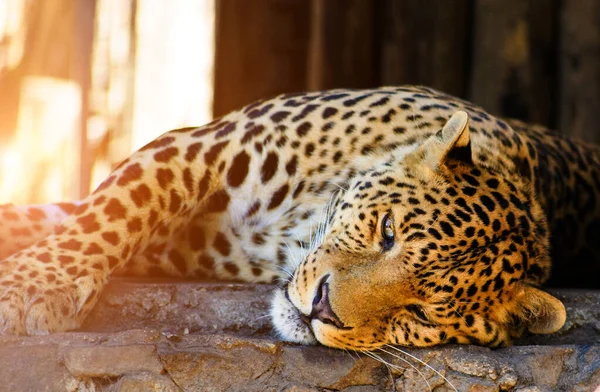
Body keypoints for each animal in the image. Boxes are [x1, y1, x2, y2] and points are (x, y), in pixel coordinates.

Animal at [1, 85, 600, 350]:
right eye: (387, 232)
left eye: (422, 315)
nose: (322, 310)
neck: (292, 227)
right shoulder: (202, 147)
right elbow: (108, 213)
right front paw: (30, 288)